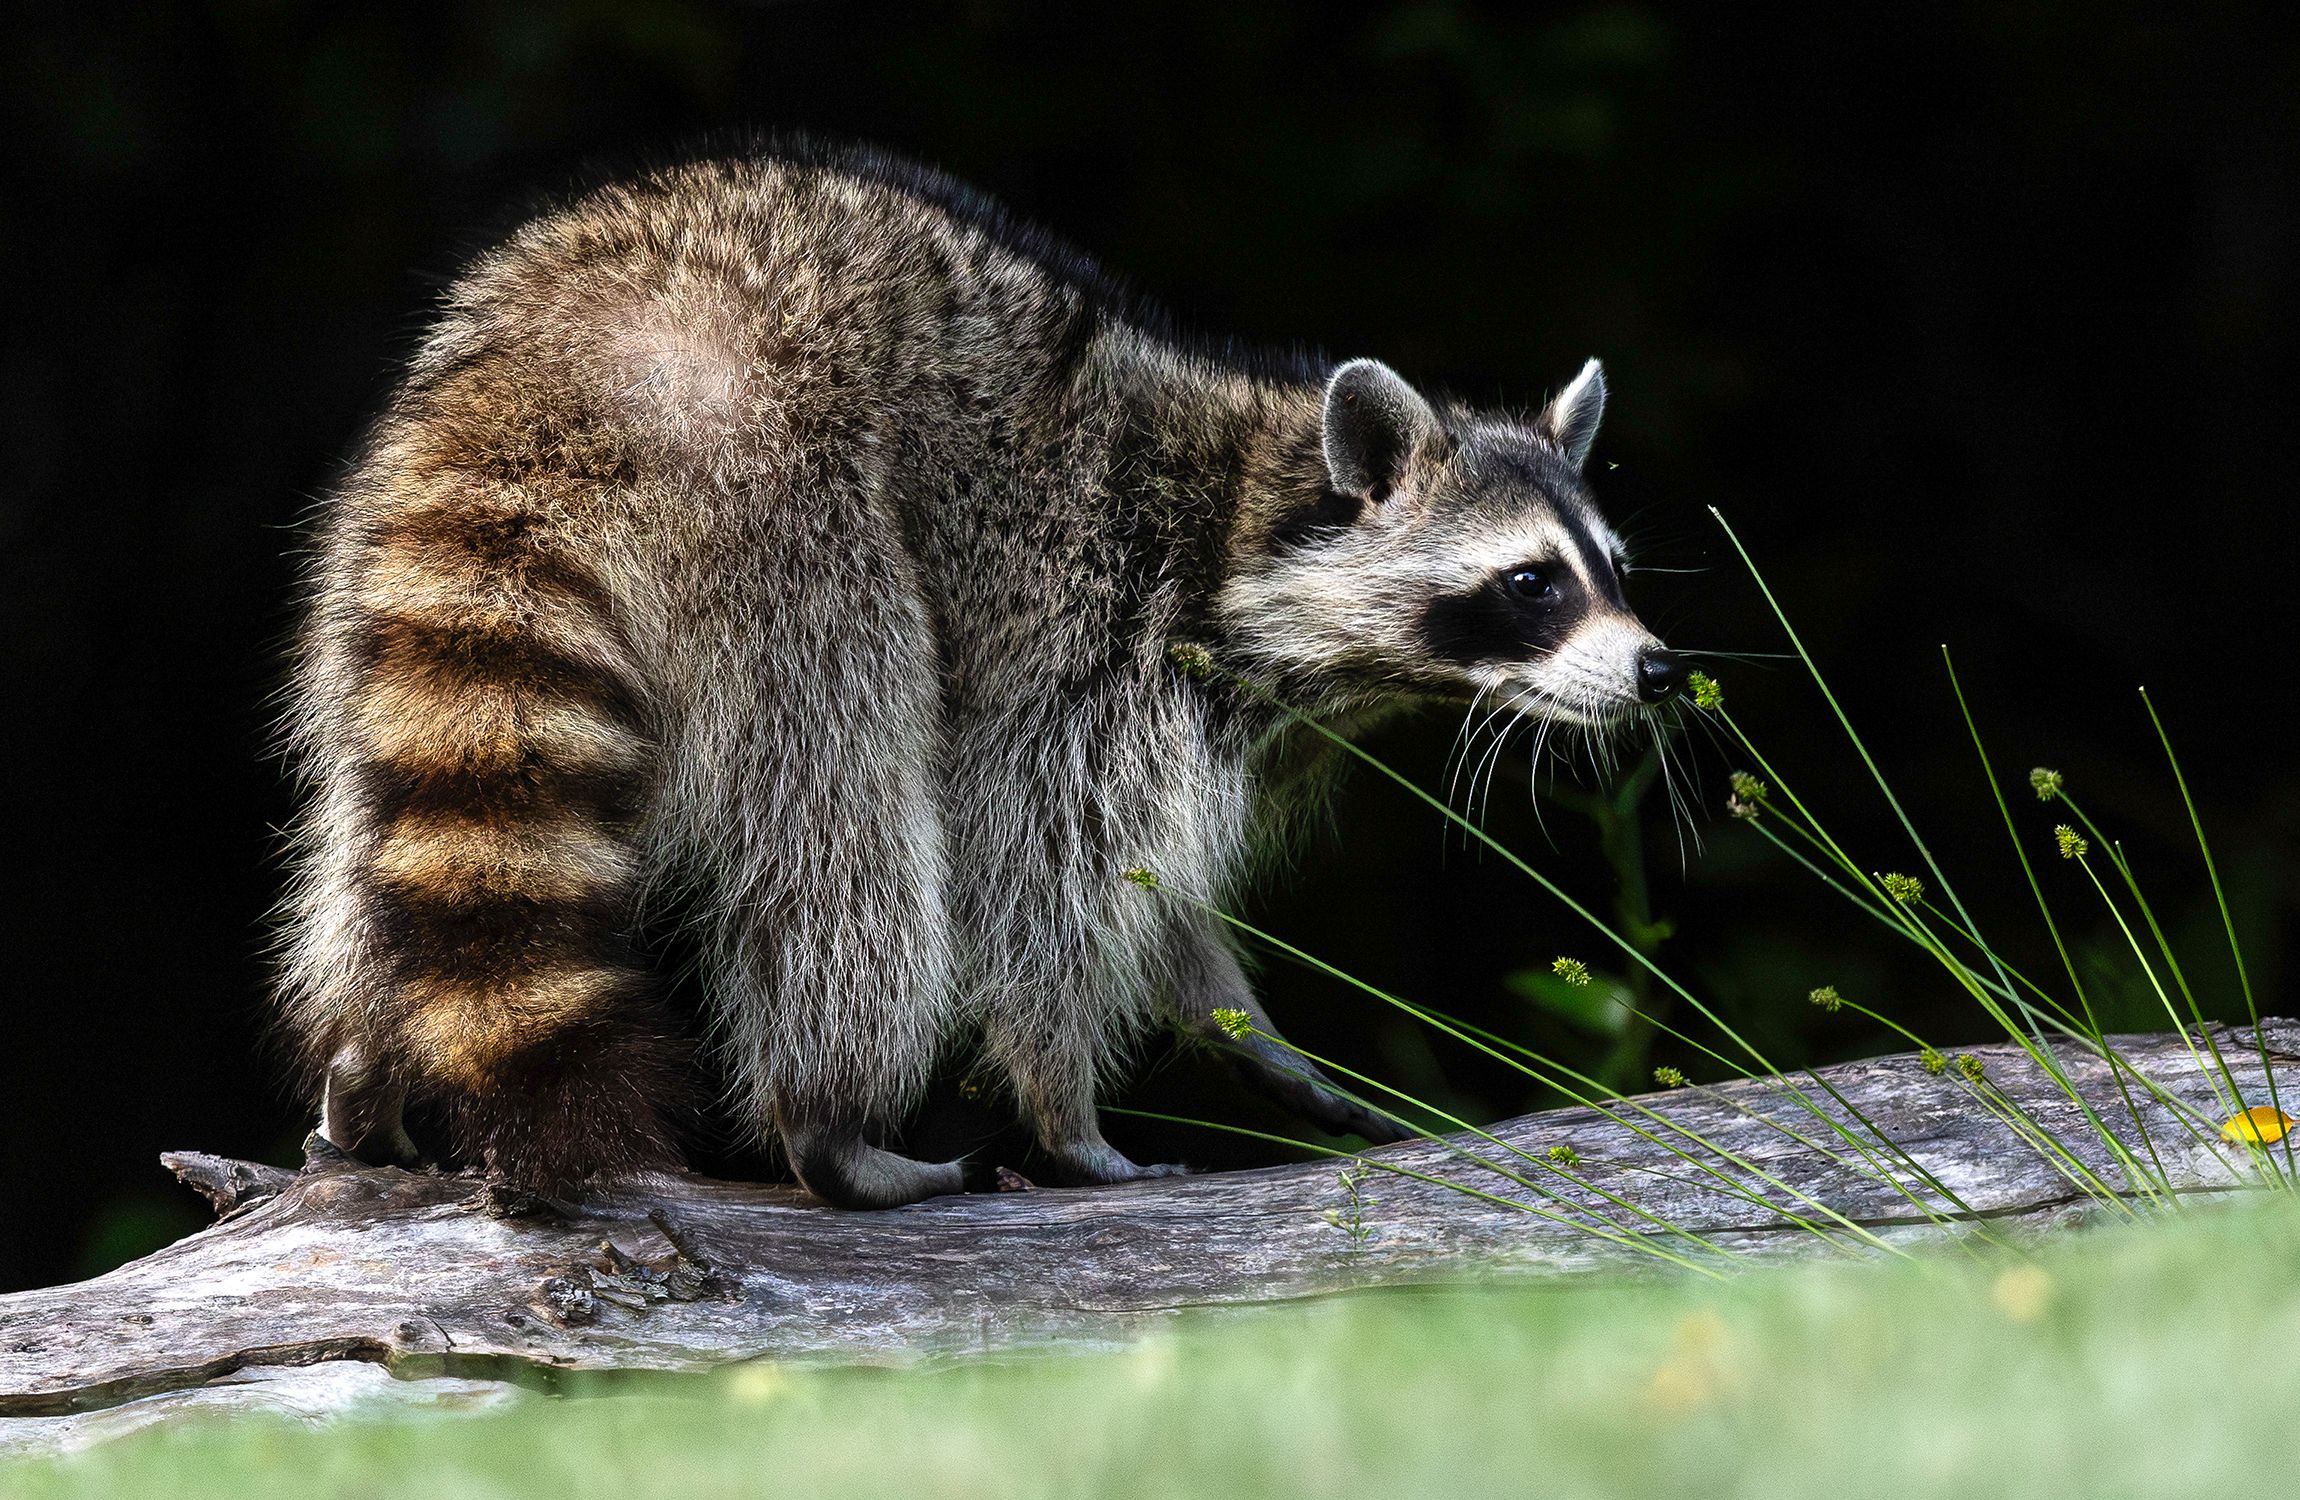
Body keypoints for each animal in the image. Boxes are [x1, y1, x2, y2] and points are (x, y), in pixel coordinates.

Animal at [276, 140, 1685, 1210]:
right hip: (789, 518)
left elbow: (1161, 897)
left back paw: (359, 1061)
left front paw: (1235, 1025)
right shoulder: (1083, 635)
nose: (1660, 672)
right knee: (844, 821)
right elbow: (1039, 875)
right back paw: (830, 1121)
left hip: (371, 553)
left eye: (1614, 570)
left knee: (374, 840)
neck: (1241, 513)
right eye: (1531, 585)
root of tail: (559, 355)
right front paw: (1065, 1109)